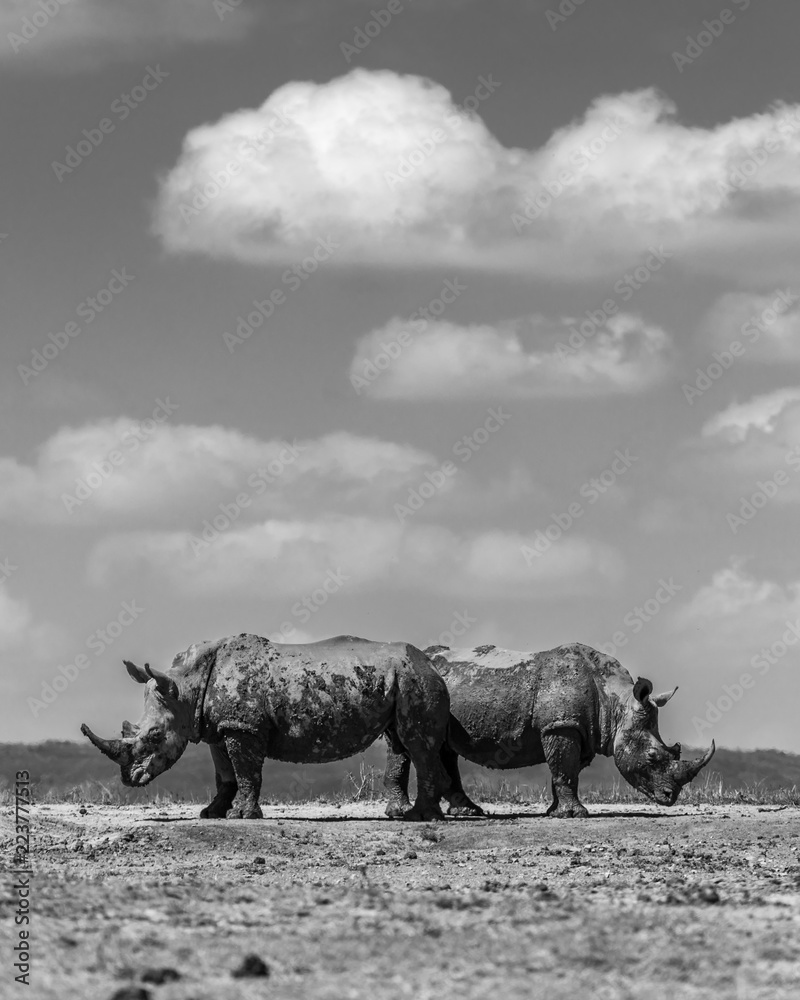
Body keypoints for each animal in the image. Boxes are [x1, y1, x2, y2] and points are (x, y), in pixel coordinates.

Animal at [81, 633, 451, 821]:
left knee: (417, 744)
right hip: (400, 677)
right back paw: (397, 814)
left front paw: (242, 816)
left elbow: (246, 772)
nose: (129, 779)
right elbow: (224, 774)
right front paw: (210, 813)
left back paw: (422, 818)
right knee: (398, 740)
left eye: (155, 736)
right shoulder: (220, 728)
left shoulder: (243, 727)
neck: (186, 687)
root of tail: (431, 662)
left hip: (416, 678)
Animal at [383, 642, 715, 818]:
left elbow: (566, 771)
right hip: (408, 688)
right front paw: (577, 814)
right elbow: (565, 769)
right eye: (651, 758)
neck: (616, 703)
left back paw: (468, 811)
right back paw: (402, 813)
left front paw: (556, 811)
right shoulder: (561, 726)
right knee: (410, 744)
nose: (670, 797)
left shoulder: (579, 729)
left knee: (443, 747)